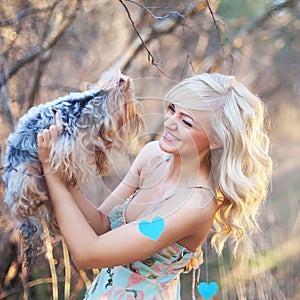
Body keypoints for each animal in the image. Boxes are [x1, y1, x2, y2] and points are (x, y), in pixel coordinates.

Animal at [1, 69, 144, 264]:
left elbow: (97, 147)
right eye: (131, 99)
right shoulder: (65, 141)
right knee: (22, 202)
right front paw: (70, 174)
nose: (138, 112)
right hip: (24, 171)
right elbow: (68, 159)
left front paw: (100, 162)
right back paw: (34, 200)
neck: (91, 105)